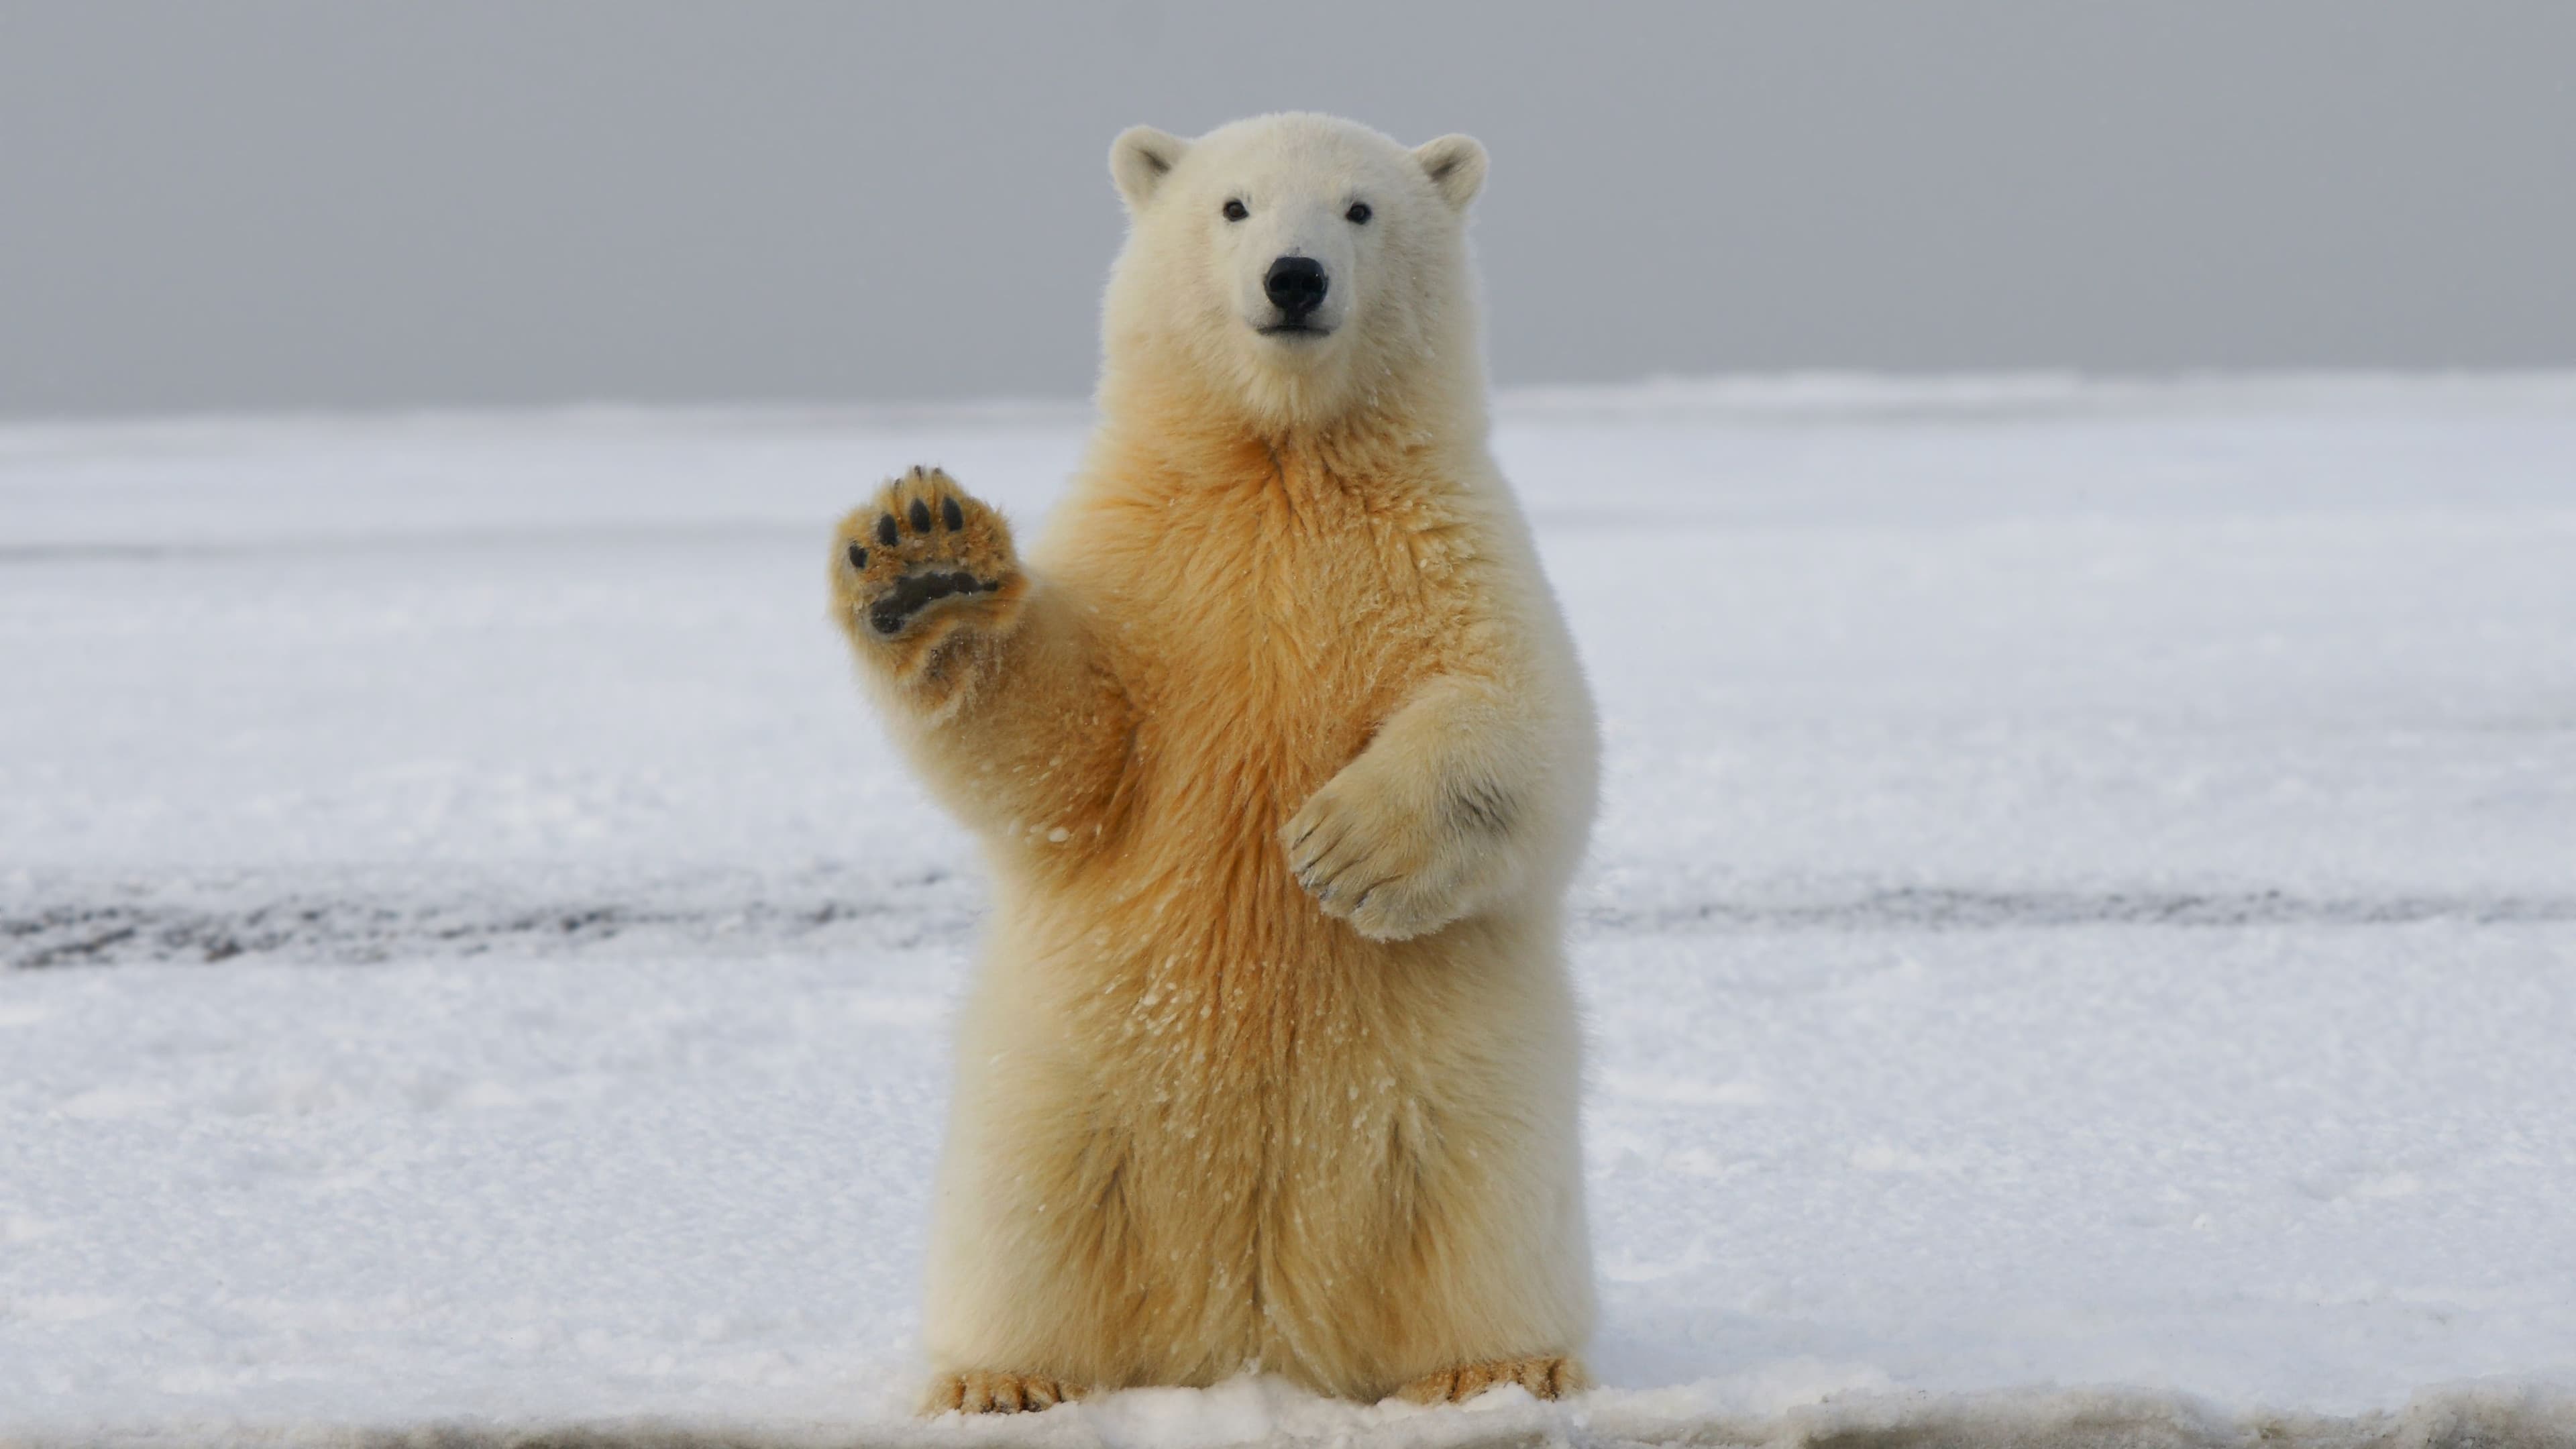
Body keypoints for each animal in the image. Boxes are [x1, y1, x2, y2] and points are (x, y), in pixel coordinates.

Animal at [829, 113, 1587, 1413]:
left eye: (1359, 209)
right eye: (1233, 207)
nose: (1295, 278)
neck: (1280, 462)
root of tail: (1251, 1330)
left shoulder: (1450, 547)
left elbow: (1525, 724)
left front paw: (1341, 849)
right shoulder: (1150, 562)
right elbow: (1068, 755)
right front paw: (923, 561)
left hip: (1465, 1097)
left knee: (1482, 1215)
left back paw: (1499, 1366)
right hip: (1062, 1089)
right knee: (1026, 1220)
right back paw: (1001, 1380)